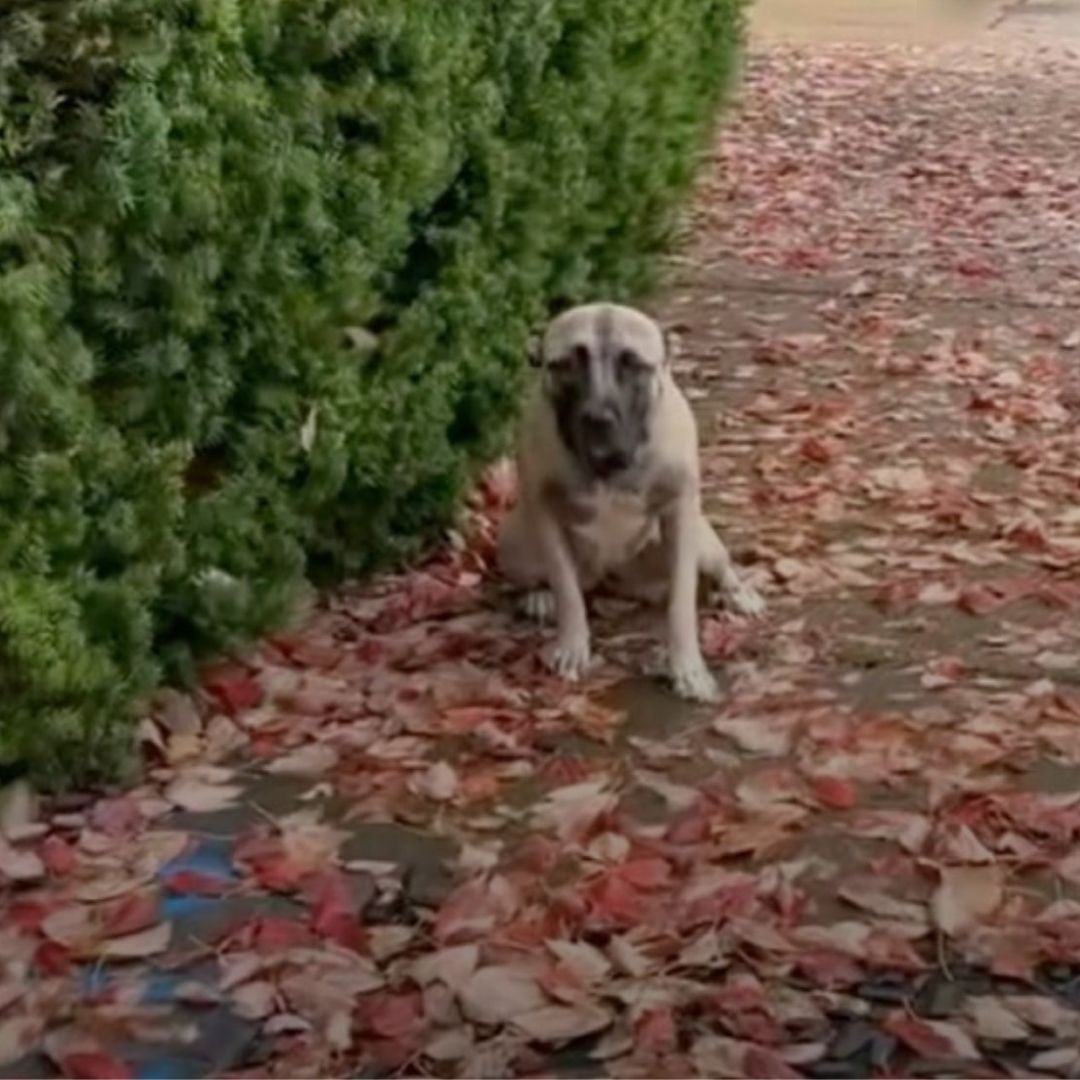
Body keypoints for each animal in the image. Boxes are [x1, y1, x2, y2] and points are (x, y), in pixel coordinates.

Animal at [497, 302, 764, 703]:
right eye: (565, 365)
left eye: (634, 364)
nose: (597, 417)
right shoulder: (544, 512)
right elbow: (567, 590)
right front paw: (572, 645)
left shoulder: (680, 515)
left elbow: (681, 606)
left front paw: (688, 668)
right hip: (514, 543)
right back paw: (539, 597)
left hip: (703, 543)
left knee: (720, 567)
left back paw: (738, 594)